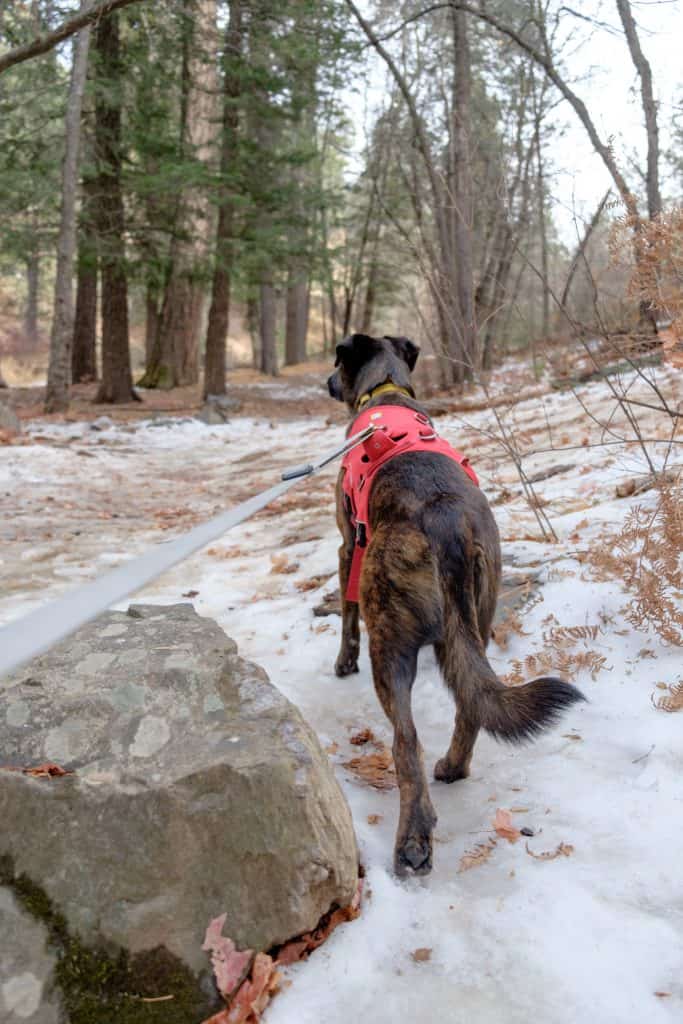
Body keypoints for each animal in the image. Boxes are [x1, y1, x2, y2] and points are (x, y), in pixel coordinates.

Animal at [327, 331, 585, 876]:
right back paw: (453, 767)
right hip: (475, 619)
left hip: (391, 641)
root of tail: (446, 525)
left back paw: (413, 842)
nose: (327, 382)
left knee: (406, 743)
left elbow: (346, 613)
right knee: (471, 705)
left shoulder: (346, 546)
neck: (386, 390)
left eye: (338, 361)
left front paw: (342, 661)